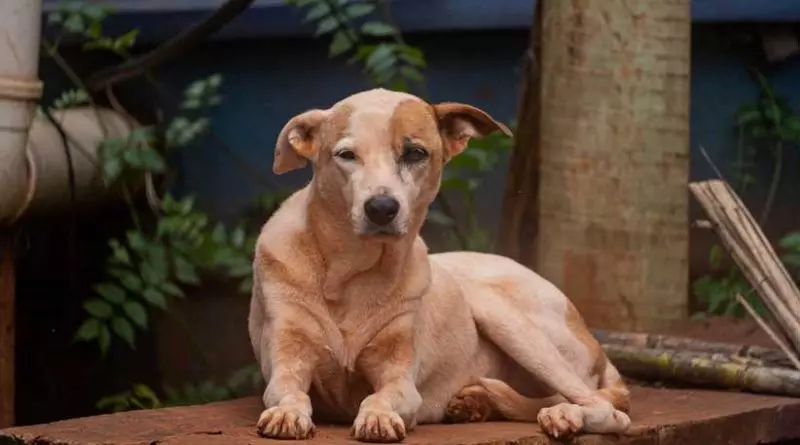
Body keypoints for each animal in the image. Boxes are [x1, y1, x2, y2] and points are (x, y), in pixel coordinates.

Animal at [248, 88, 631, 442]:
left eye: (415, 153)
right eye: (346, 155)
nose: (381, 208)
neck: (353, 273)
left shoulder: (401, 377)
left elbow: (381, 396)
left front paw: (378, 416)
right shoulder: (287, 359)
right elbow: (287, 390)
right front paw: (286, 413)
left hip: (504, 317)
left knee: (608, 410)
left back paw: (563, 414)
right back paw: (479, 402)